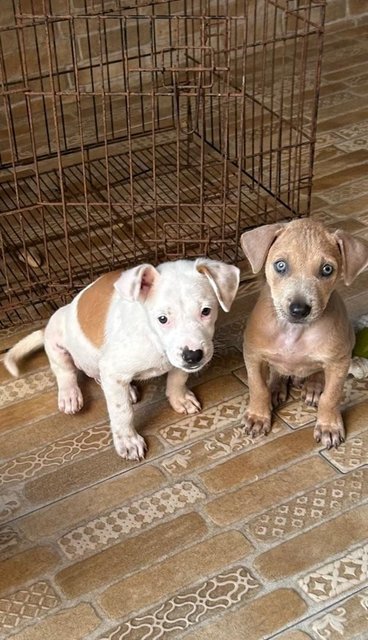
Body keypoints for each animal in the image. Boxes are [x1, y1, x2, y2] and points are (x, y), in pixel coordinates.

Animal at [5, 258, 242, 460]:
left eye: (206, 311)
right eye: (162, 319)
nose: (193, 356)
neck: (154, 340)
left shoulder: (178, 359)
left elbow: (177, 378)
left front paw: (179, 398)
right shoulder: (113, 369)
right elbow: (122, 412)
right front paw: (128, 441)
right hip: (57, 336)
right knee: (65, 371)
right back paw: (70, 394)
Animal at [240, 220, 368, 450]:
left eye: (327, 269)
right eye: (280, 265)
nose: (299, 310)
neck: (294, 332)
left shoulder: (339, 361)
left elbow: (331, 396)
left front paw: (329, 426)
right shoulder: (252, 354)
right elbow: (257, 387)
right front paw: (258, 416)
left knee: (318, 373)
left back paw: (313, 386)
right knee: (277, 372)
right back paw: (276, 388)